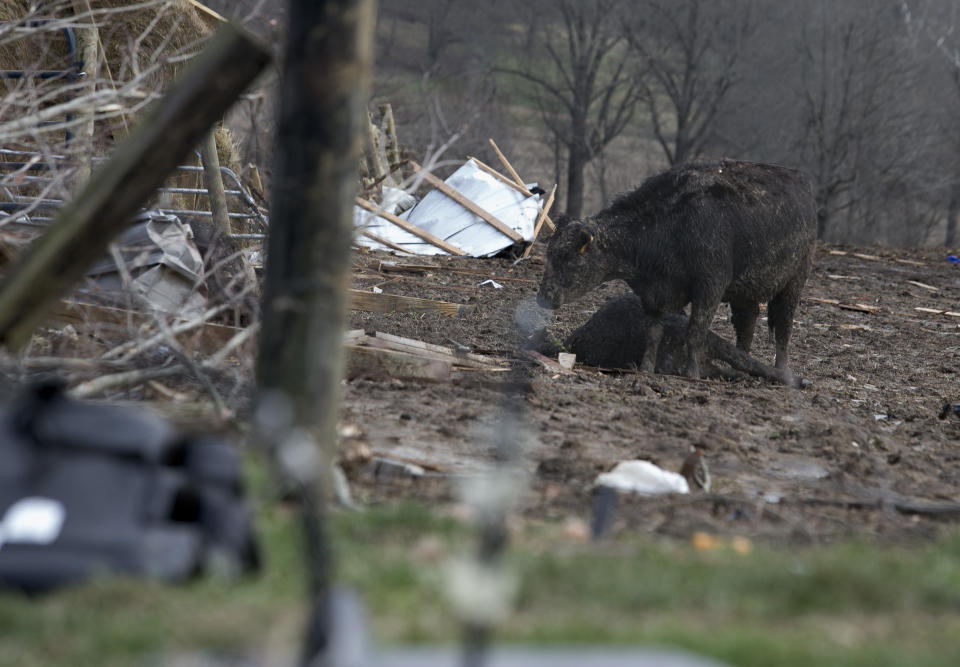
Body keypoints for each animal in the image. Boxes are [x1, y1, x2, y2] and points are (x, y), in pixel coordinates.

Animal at [536, 159, 812, 384]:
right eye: (549, 253)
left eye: (567, 258)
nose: (544, 296)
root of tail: (798, 176)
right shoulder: (652, 294)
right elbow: (653, 333)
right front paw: (645, 369)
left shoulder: (710, 286)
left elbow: (696, 332)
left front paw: (692, 374)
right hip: (745, 291)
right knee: (747, 324)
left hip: (794, 281)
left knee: (784, 328)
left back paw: (783, 371)